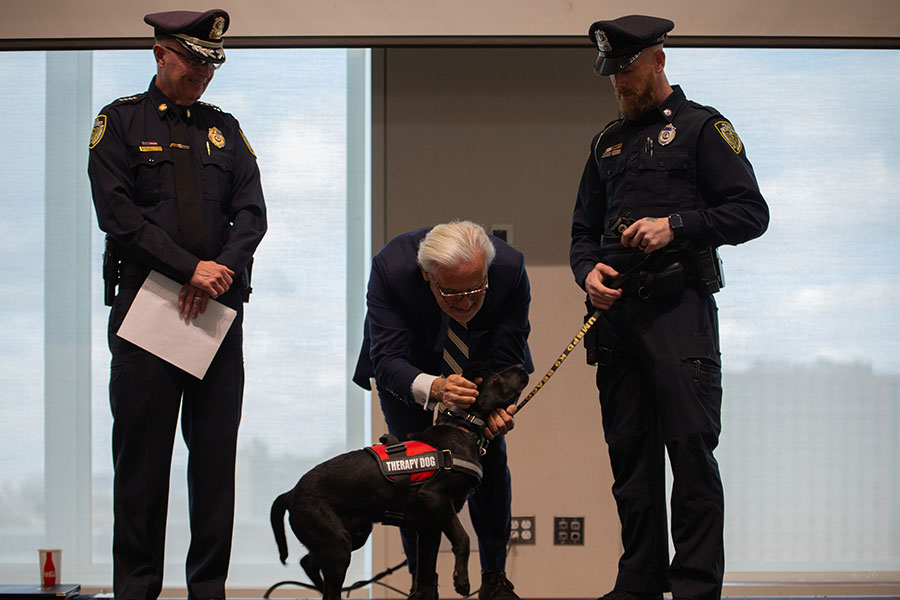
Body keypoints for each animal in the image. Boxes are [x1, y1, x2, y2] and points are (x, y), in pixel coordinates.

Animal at [270, 364, 532, 600]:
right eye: (496, 377)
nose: (522, 367)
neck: (462, 429)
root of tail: (291, 493)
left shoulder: (429, 529)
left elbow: (426, 578)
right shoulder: (436, 498)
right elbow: (463, 539)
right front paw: (461, 581)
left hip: (352, 535)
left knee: (308, 562)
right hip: (338, 545)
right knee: (327, 587)